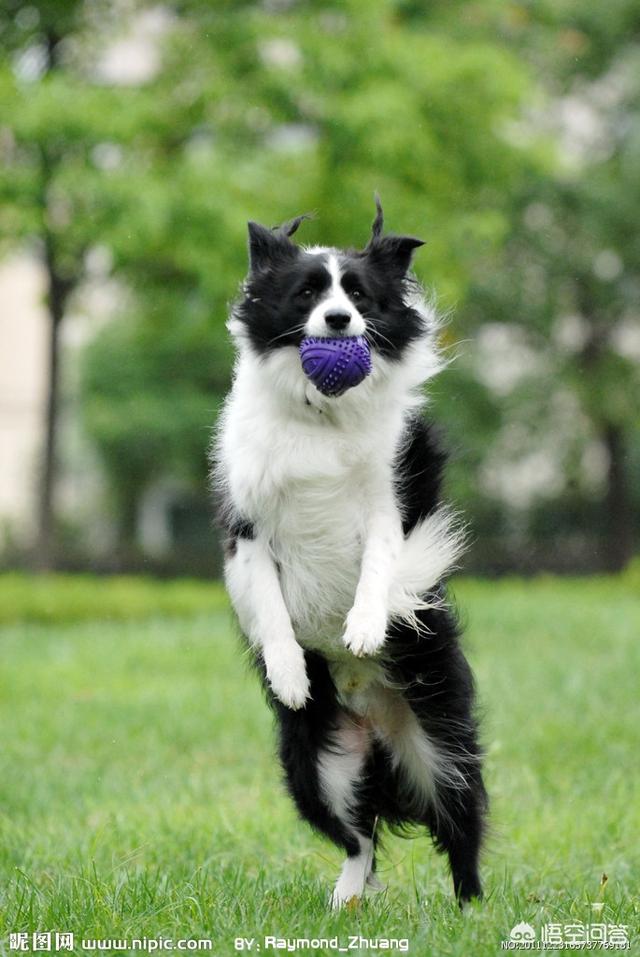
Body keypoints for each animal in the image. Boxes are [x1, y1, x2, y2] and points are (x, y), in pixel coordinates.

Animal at [212, 200, 488, 904]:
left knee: (461, 823)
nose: (339, 322)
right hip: (315, 763)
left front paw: (363, 627)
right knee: (357, 836)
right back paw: (346, 898)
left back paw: (472, 908)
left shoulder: (390, 506)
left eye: (359, 296)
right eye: (308, 294)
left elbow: (380, 566)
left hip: (441, 746)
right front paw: (288, 673)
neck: (321, 414)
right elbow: (270, 607)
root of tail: (376, 723)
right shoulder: (247, 530)